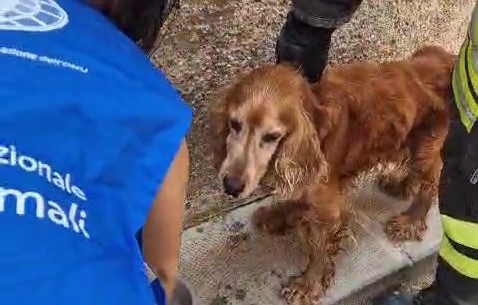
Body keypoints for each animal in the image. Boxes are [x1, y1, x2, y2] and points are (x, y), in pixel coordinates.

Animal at [207, 45, 454, 304]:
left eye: (271, 136)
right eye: (234, 124)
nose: (231, 186)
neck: (315, 123)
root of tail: (447, 58)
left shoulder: (328, 209)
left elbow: (318, 250)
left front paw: (307, 286)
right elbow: (298, 199)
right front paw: (279, 215)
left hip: (426, 145)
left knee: (433, 178)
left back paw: (411, 221)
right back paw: (401, 185)